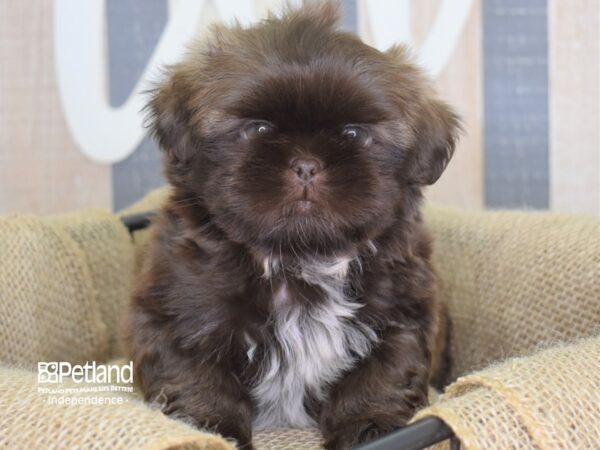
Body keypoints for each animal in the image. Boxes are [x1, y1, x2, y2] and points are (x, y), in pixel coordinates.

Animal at [123, 2, 460, 446]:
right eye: (258, 129)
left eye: (354, 134)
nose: (306, 165)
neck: (298, 259)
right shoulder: (178, 309)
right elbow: (195, 373)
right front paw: (208, 428)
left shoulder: (402, 311)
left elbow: (381, 371)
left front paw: (368, 426)